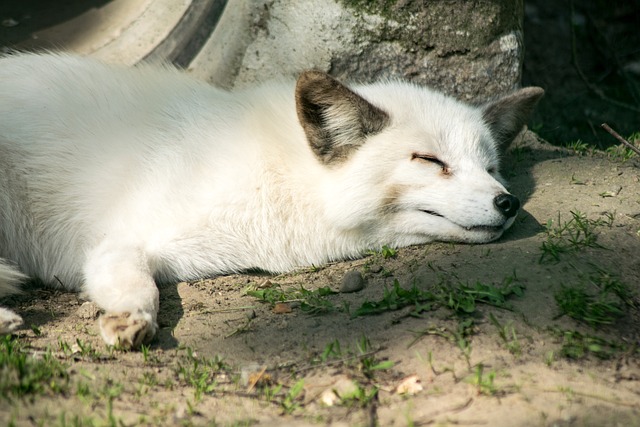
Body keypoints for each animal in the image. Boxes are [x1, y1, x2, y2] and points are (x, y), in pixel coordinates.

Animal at [0, 53, 540, 348]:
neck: (283, 174)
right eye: (430, 160)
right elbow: (142, 288)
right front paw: (131, 319)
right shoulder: (119, 240)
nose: (508, 203)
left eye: (490, 167)